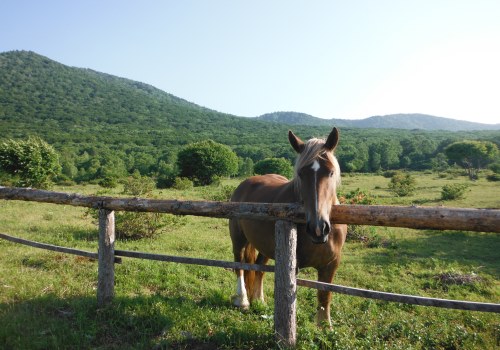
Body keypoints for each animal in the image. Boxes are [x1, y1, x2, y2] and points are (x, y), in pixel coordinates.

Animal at [229, 127, 346, 326]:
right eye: (300, 173)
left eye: (331, 172)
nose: (318, 229)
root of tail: (244, 184)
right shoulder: (294, 264)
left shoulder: (330, 265)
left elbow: (324, 297)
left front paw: (324, 327)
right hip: (238, 240)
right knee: (240, 266)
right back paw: (243, 300)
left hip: (266, 246)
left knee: (259, 268)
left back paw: (259, 300)